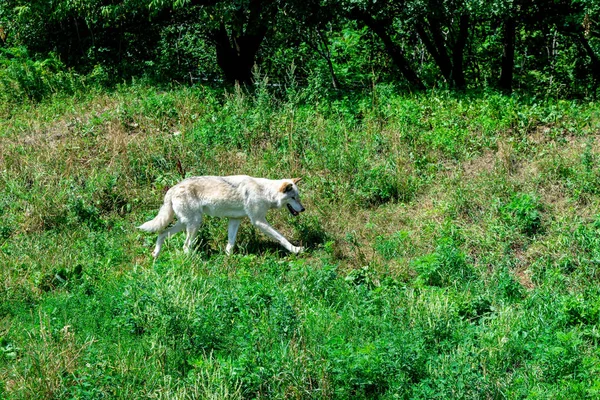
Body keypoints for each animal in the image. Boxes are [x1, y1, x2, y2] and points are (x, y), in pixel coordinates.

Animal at [139, 176, 304, 258]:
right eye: (293, 198)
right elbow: (281, 237)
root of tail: (172, 189)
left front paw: (228, 259)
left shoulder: (235, 220)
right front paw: (296, 249)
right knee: (185, 246)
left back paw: (155, 255)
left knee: (162, 233)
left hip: (184, 224)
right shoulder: (258, 221)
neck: (265, 192)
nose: (303, 209)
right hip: (195, 224)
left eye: (298, 197)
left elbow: (230, 244)